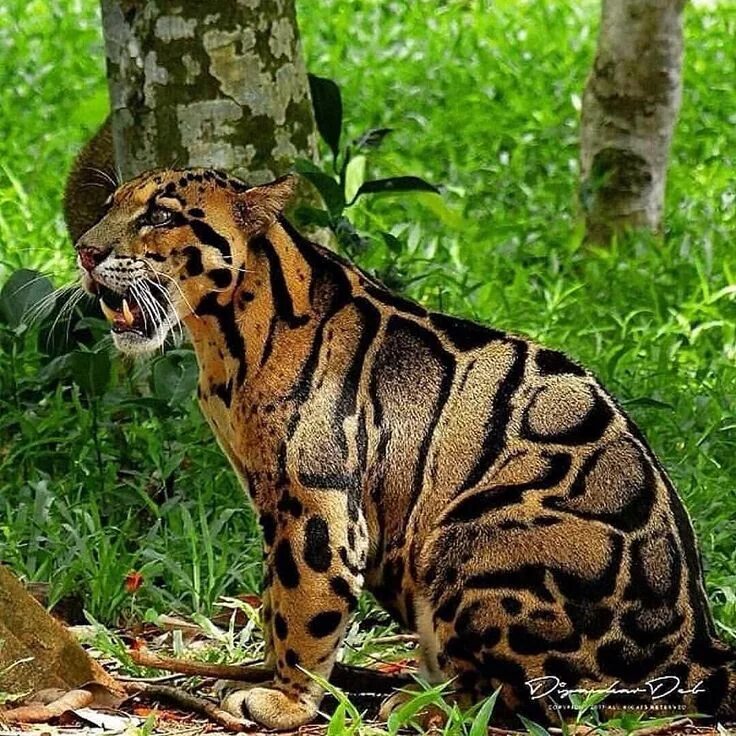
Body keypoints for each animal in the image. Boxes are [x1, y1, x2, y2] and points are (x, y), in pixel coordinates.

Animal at [73, 170, 736, 728]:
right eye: (109, 206)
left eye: (161, 215)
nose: (84, 250)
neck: (224, 338)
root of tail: (696, 643)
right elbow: (273, 599)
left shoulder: (315, 502)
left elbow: (300, 602)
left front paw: (285, 699)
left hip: (475, 537)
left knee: (533, 699)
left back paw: (423, 703)